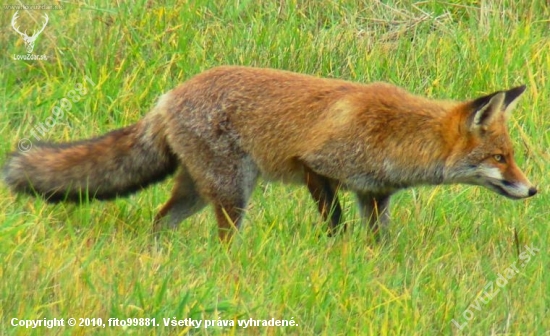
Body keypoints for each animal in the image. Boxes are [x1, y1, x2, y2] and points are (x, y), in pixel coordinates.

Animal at [3, 65, 540, 240]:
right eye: (499, 158)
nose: (533, 189)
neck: (396, 134)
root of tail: (169, 95)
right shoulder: (315, 168)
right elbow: (335, 228)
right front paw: (335, 257)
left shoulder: (373, 193)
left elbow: (379, 239)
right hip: (232, 192)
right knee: (223, 238)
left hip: (198, 192)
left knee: (159, 221)